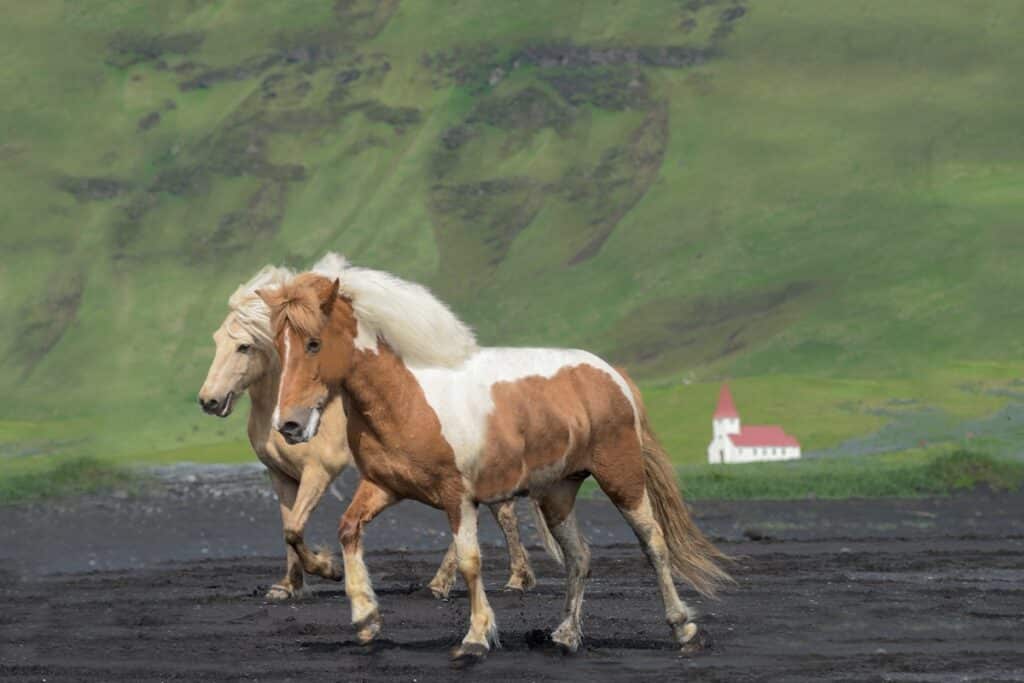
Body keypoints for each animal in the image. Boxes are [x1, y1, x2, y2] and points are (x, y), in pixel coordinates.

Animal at [197, 259, 552, 602]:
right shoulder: (280, 475)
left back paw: (479, 582)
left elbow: (295, 528)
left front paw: (328, 569)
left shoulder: (319, 470)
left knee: (499, 512)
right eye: (215, 341)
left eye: (244, 346)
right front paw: (289, 586)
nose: (208, 400)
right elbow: (289, 530)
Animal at [256, 255, 733, 663]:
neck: (408, 396)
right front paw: (362, 612)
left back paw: (683, 629)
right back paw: (565, 636)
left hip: (622, 477)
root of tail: (611, 373)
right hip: (558, 492)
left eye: (313, 343)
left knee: (653, 543)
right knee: (580, 555)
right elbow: (344, 529)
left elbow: (470, 562)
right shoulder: (383, 486)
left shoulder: (458, 497)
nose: (289, 425)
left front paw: (476, 638)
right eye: (279, 345)